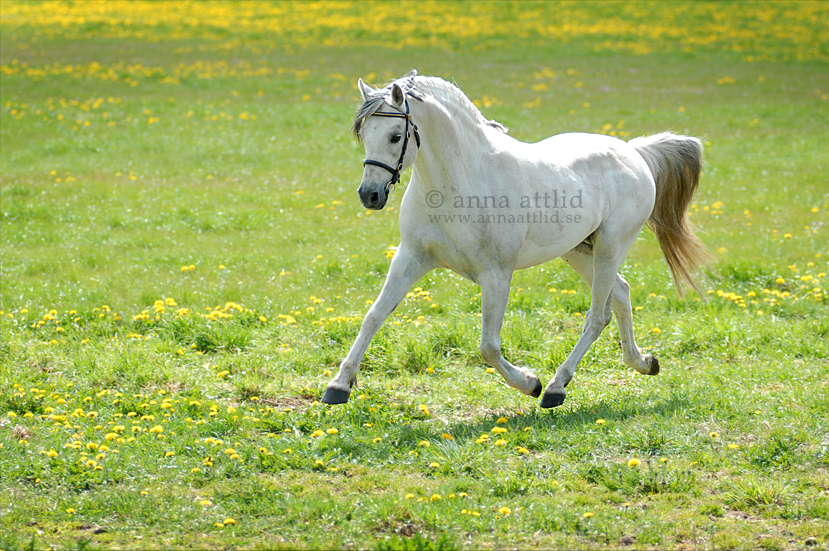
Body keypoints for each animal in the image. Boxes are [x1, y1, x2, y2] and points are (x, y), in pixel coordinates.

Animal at [320, 71, 708, 410]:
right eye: (363, 134)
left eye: (394, 136)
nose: (370, 195)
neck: (456, 183)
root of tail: (633, 152)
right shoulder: (411, 258)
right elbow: (374, 315)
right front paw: (338, 386)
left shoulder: (496, 274)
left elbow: (488, 346)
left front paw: (531, 383)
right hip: (580, 251)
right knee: (622, 294)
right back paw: (643, 362)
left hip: (611, 247)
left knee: (598, 315)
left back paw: (555, 389)